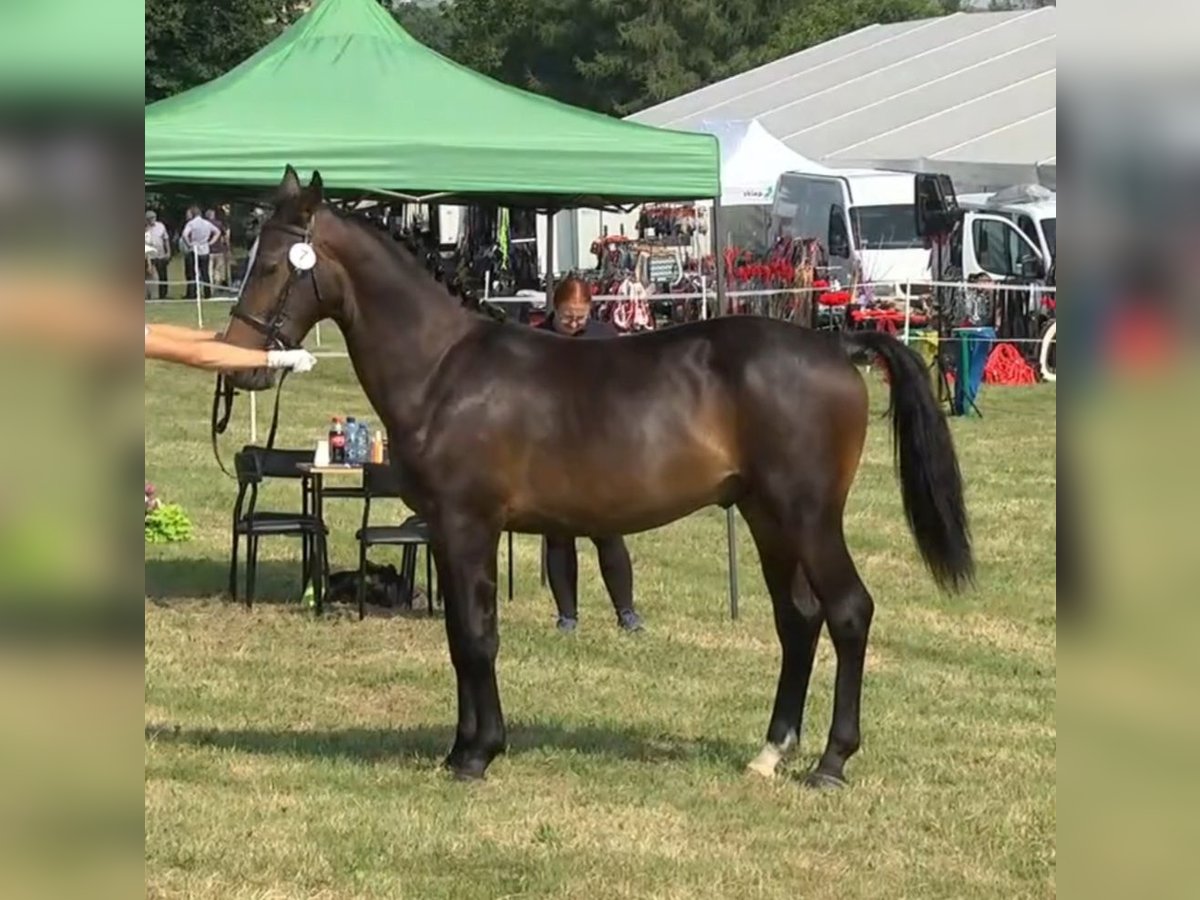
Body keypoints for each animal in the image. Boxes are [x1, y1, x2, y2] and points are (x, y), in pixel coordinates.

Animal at [226, 169, 974, 787]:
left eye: (275, 263)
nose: (239, 363)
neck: (444, 369)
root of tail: (835, 342)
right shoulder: (442, 530)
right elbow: (460, 638)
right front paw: (462, 746)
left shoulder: (468, 524)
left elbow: (476, 635)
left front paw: (477, 754)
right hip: (767, 518)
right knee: (799, 619)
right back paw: (770, 751)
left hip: (810, 516)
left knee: (848, 613)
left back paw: (831, 761)